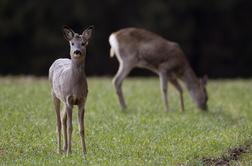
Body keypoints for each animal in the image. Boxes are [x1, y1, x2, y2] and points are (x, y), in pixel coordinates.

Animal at [48, 24, 93, 156]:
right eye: (72, 43)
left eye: (83, 43)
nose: (77, 51)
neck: (76, 87)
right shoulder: (69, 99)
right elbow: (70, 127)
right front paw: (69, 153)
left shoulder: (82, 100)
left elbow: (81, 128)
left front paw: (84, 152)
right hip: (54, 94)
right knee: (58, 122)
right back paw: (60, 150)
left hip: (64, 100)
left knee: (62, 120)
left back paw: (65, 147)